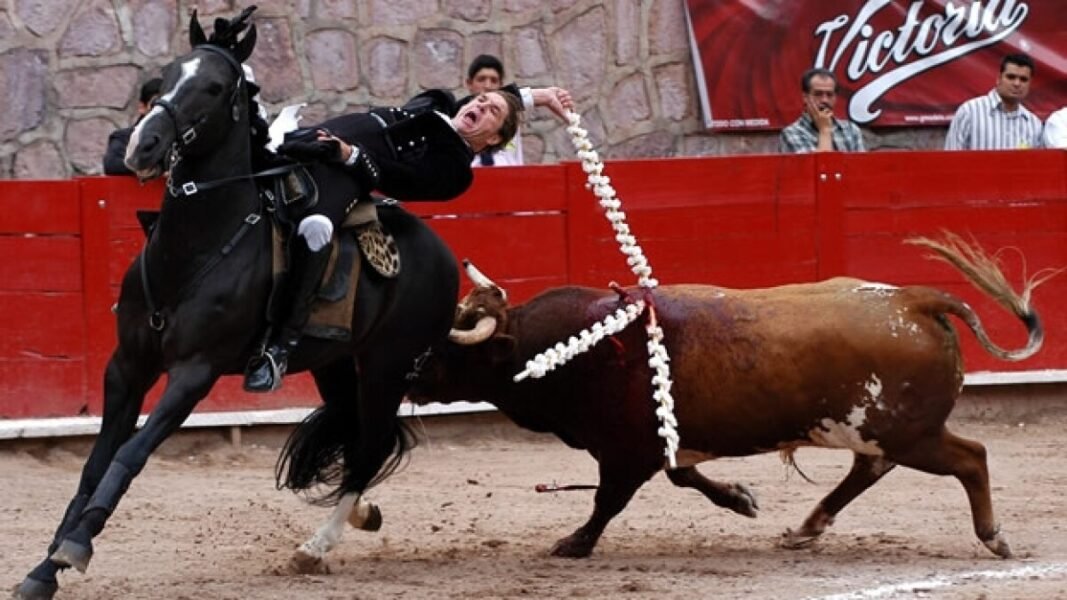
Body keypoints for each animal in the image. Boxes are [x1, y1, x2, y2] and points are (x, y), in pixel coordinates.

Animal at [16, 7, 458, 593]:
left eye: (214, 87)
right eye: (165, 74)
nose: (142, 146)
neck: (194, 249)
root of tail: (442, 253)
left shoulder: (194, 373)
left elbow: (130, 454)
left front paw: (75, 547)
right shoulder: (126, 366)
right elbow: (96, 463)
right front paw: (43, 570)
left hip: (390, 365)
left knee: (370, 445)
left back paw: (316, 546)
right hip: (335, 362)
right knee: (356, 429)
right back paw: (359, 515)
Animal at [405, 233, 1049, 555]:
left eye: (448, 349)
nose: (404, 374)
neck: (568, 347)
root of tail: (914, 300)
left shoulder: (625, 453)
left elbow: (608, 501)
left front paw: (573, 544)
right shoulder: (661, 445)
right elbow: (685, 476)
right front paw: (741, 499)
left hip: (908, 432)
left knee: (970, 458)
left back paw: (993, 538)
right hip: (880, 430)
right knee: (869, 471)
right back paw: (804, 529)